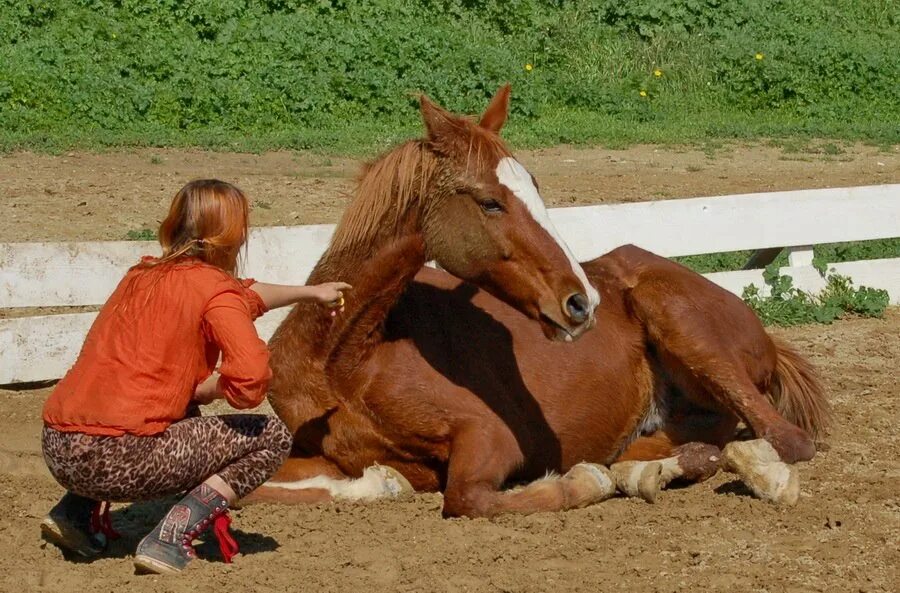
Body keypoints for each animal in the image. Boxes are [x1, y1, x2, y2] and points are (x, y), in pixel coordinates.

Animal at [244, 85, 828, 516]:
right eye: (490, 202)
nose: (582, 302)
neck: (344, 358)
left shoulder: (490, 438)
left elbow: (469, 499)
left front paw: (582, 484)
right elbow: (259, 489)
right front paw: (379, 484)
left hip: (688, 332)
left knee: (783, 439)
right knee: (694, 445)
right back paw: (646, 472)